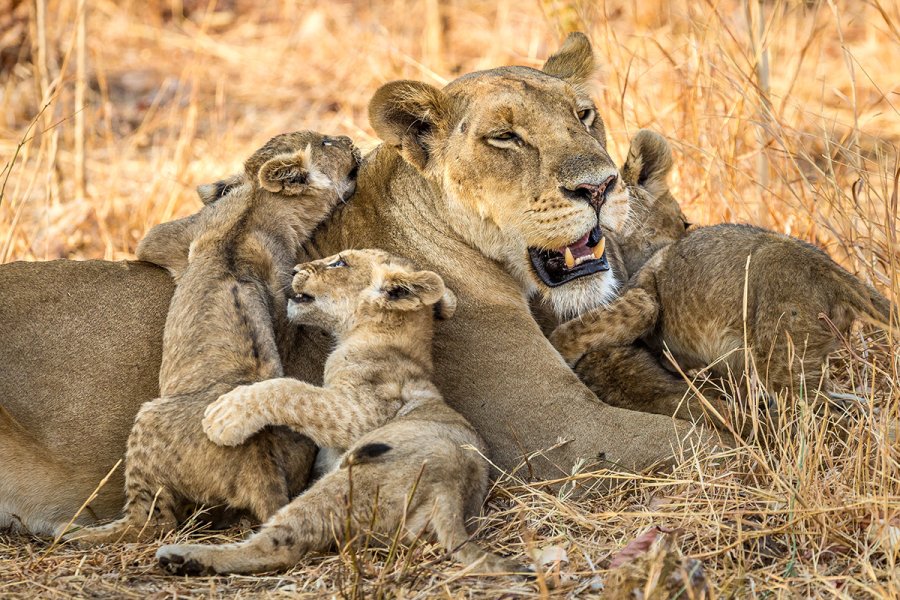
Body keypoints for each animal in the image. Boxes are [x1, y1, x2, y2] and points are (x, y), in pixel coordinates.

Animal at [60, 131, 360, 544]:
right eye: (328, 142)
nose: (349, 139)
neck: (258, 205)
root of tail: (258, 461)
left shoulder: (171, 236)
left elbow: (153, 241)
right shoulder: (284, 288)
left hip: (149, 418)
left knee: (154, 522)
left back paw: (79, 532)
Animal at [155, 249, 519, 576]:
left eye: (340, 262)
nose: (295, 269)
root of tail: (452, 492)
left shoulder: (357, 412)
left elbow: (291, 390)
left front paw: (225, 415)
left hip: (351, 480)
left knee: (279, 546)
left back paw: (184, 557)